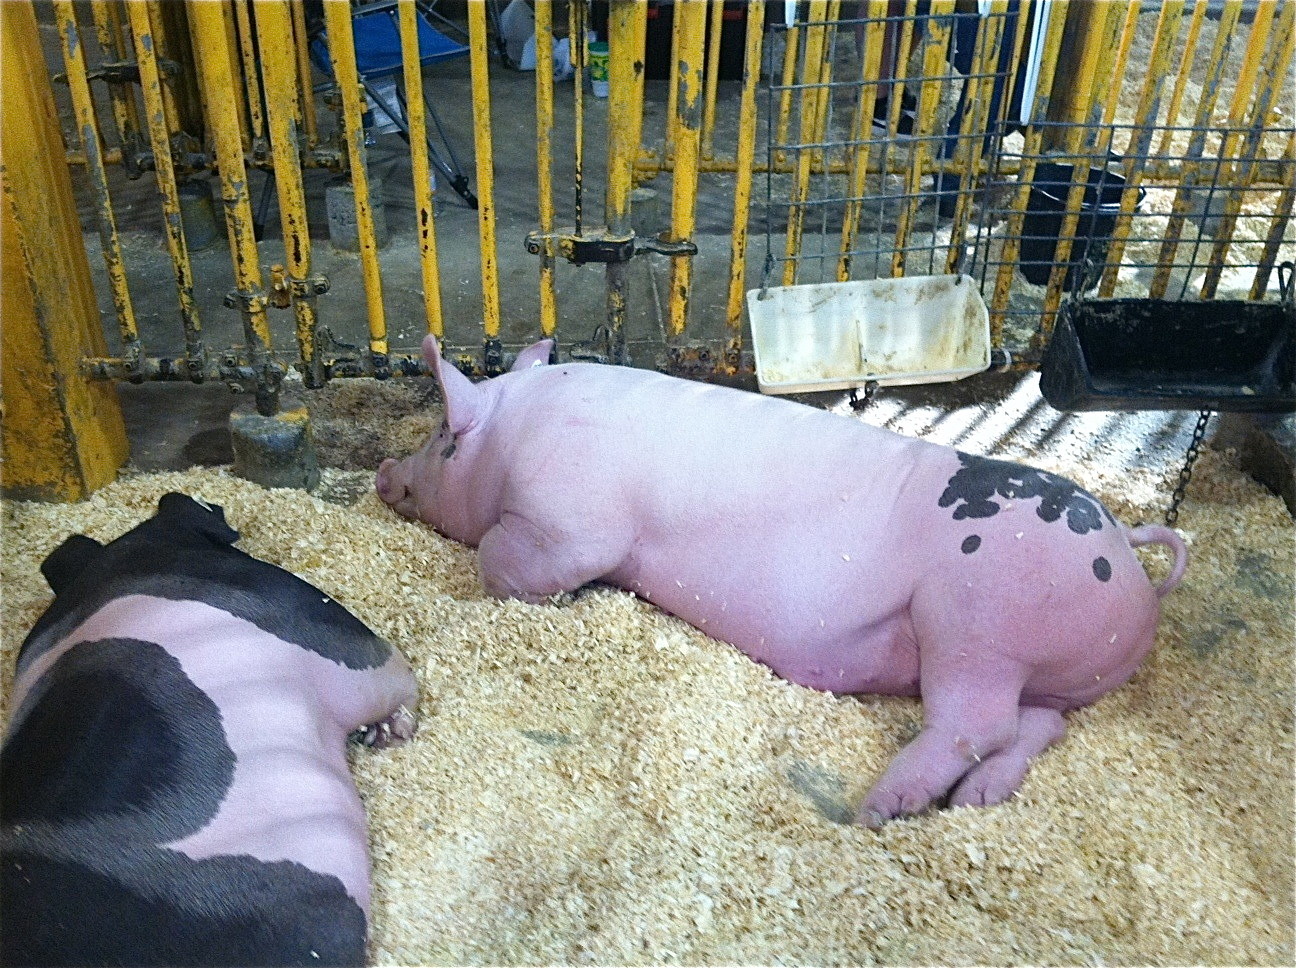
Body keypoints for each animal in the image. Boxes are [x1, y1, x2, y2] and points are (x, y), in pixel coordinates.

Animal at [375, 336, 1187, 829]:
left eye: (442, 438)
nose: (384, 471)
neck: (509, 442)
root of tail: (1123, 546)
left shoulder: (569, 520)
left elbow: (513, 560)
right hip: (1041, 670)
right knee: (1040, 725)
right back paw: (978, 800)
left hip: (975, 626)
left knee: (977, 723)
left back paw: (881, 807)